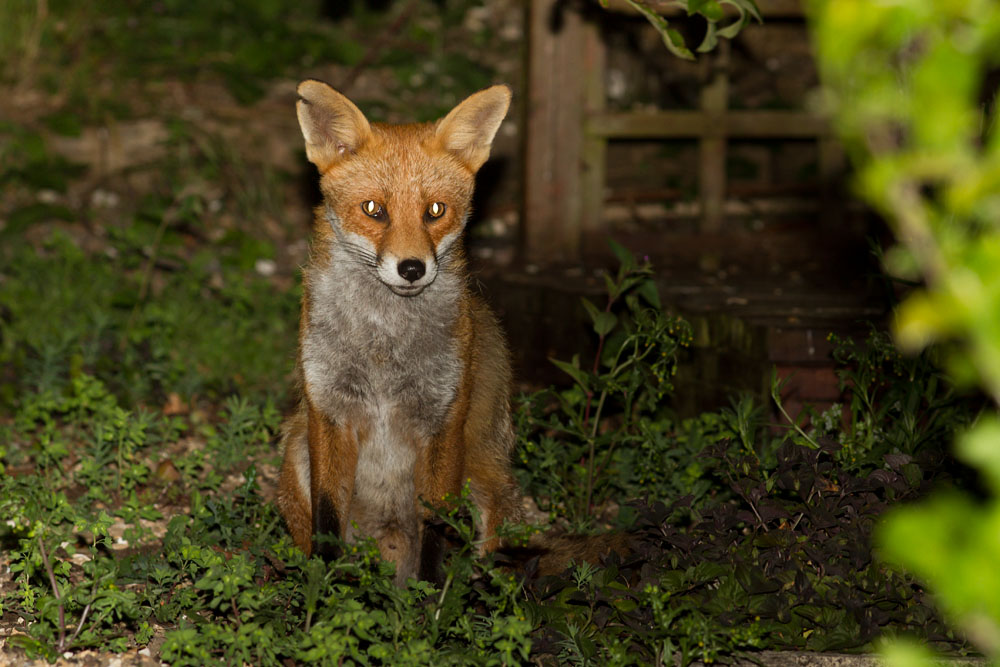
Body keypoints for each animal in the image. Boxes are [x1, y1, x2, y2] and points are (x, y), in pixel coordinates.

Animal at [276, 80, 526, 584]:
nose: (412, 268)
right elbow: (327, 520)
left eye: (435, 210)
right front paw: (325, 593)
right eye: (374, 210)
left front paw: (427, 599)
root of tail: (389, 553)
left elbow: (436, 527)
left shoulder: (443, 420)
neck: (383, 352)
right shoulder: (329, 411)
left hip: (485, 485)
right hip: (294, 448)